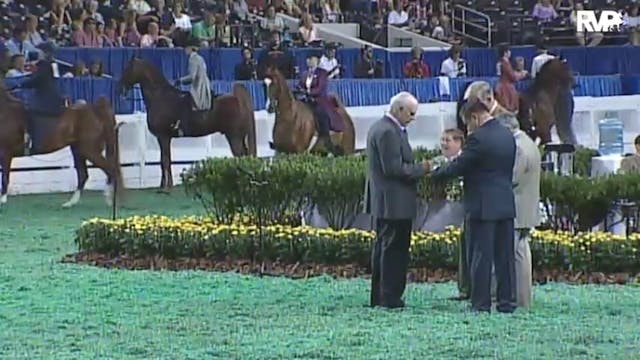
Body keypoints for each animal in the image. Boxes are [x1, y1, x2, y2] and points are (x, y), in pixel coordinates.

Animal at [117, 56, 255, 191]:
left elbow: (165, 160)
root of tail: (238, 99)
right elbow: (165, 160)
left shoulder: (163, 137)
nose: (120, 88)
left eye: (128, 69)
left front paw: (166, 187)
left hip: (234, 136)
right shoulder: (164, 138)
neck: (160, 97)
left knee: (240, 155)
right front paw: (164, 185)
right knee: (245, 156)